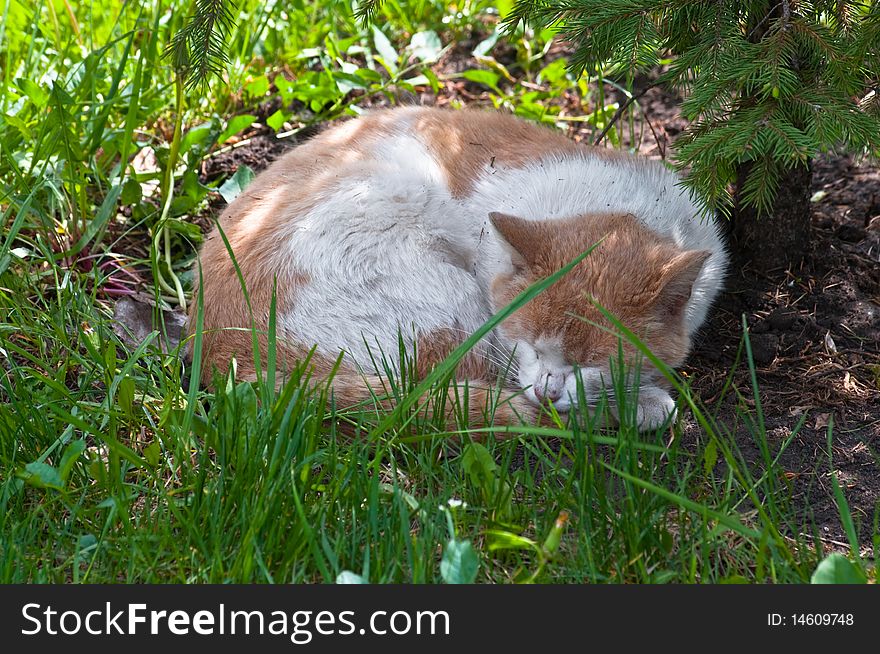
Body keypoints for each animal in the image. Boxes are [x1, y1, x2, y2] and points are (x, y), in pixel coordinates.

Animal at [189, 107, 724, 434]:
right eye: (530, 345)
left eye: (592, 363)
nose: (548, 391)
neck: (617, 205)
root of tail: (220, 352)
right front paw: (640, 397)